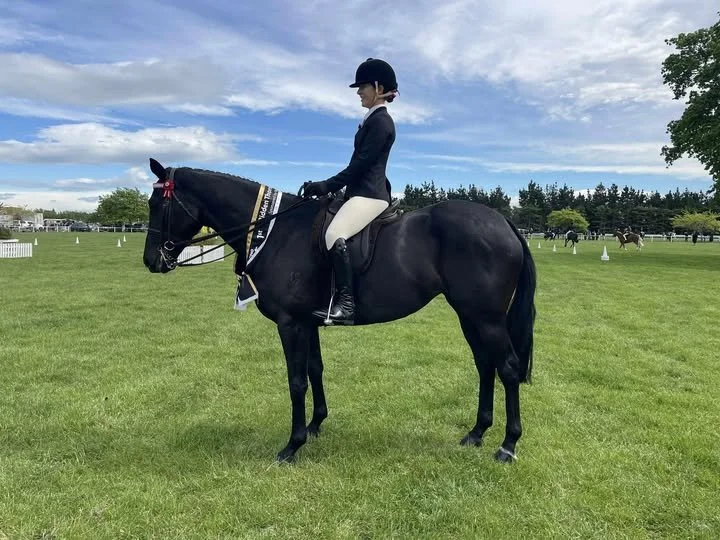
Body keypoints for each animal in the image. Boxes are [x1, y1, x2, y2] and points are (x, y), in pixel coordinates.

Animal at [143, 159, 537, 464]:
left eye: (157, 204)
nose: (151, 262)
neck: (275, 232)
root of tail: (501, 221)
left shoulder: (290, 324)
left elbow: (296, 380)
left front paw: (292, 446)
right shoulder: (308, 322)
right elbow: (315, 370)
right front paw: (316, 425)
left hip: (486, 318)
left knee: (508, 368)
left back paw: (507, 445)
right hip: (470, 315)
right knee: (485, 365)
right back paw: (477, 433)